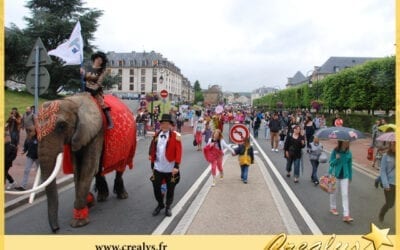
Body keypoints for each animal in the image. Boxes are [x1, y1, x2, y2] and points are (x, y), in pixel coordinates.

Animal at [37, 93, 138, 233]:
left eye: (61, 126)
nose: (56, 229)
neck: (73, 101)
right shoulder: (79, 137)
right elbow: (78, 169)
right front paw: (88, 203)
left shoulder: (96, 132)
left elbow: (87, 168)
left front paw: (79, 222)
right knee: (99, 168)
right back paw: (102, 197)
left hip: (129, 143)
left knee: (120, 166)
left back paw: (122, 195)